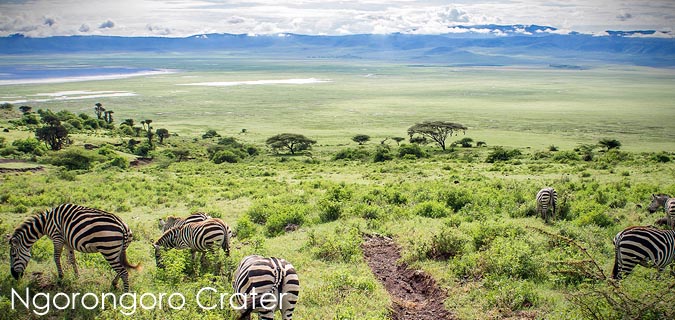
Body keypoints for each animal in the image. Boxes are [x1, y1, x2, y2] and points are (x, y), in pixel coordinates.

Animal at [8, 204, 140, 292]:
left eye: (13, 255)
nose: (14, 276)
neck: (46, 223)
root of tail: (123, 226)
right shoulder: (67, 242)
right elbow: (72, 259)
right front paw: (77, 277)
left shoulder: (57, 237)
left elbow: (56, 257)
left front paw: (61, 277)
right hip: (118, 251)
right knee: (123, 269)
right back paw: (114, 283)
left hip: (109, 251)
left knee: (123, 271)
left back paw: (125, 295)